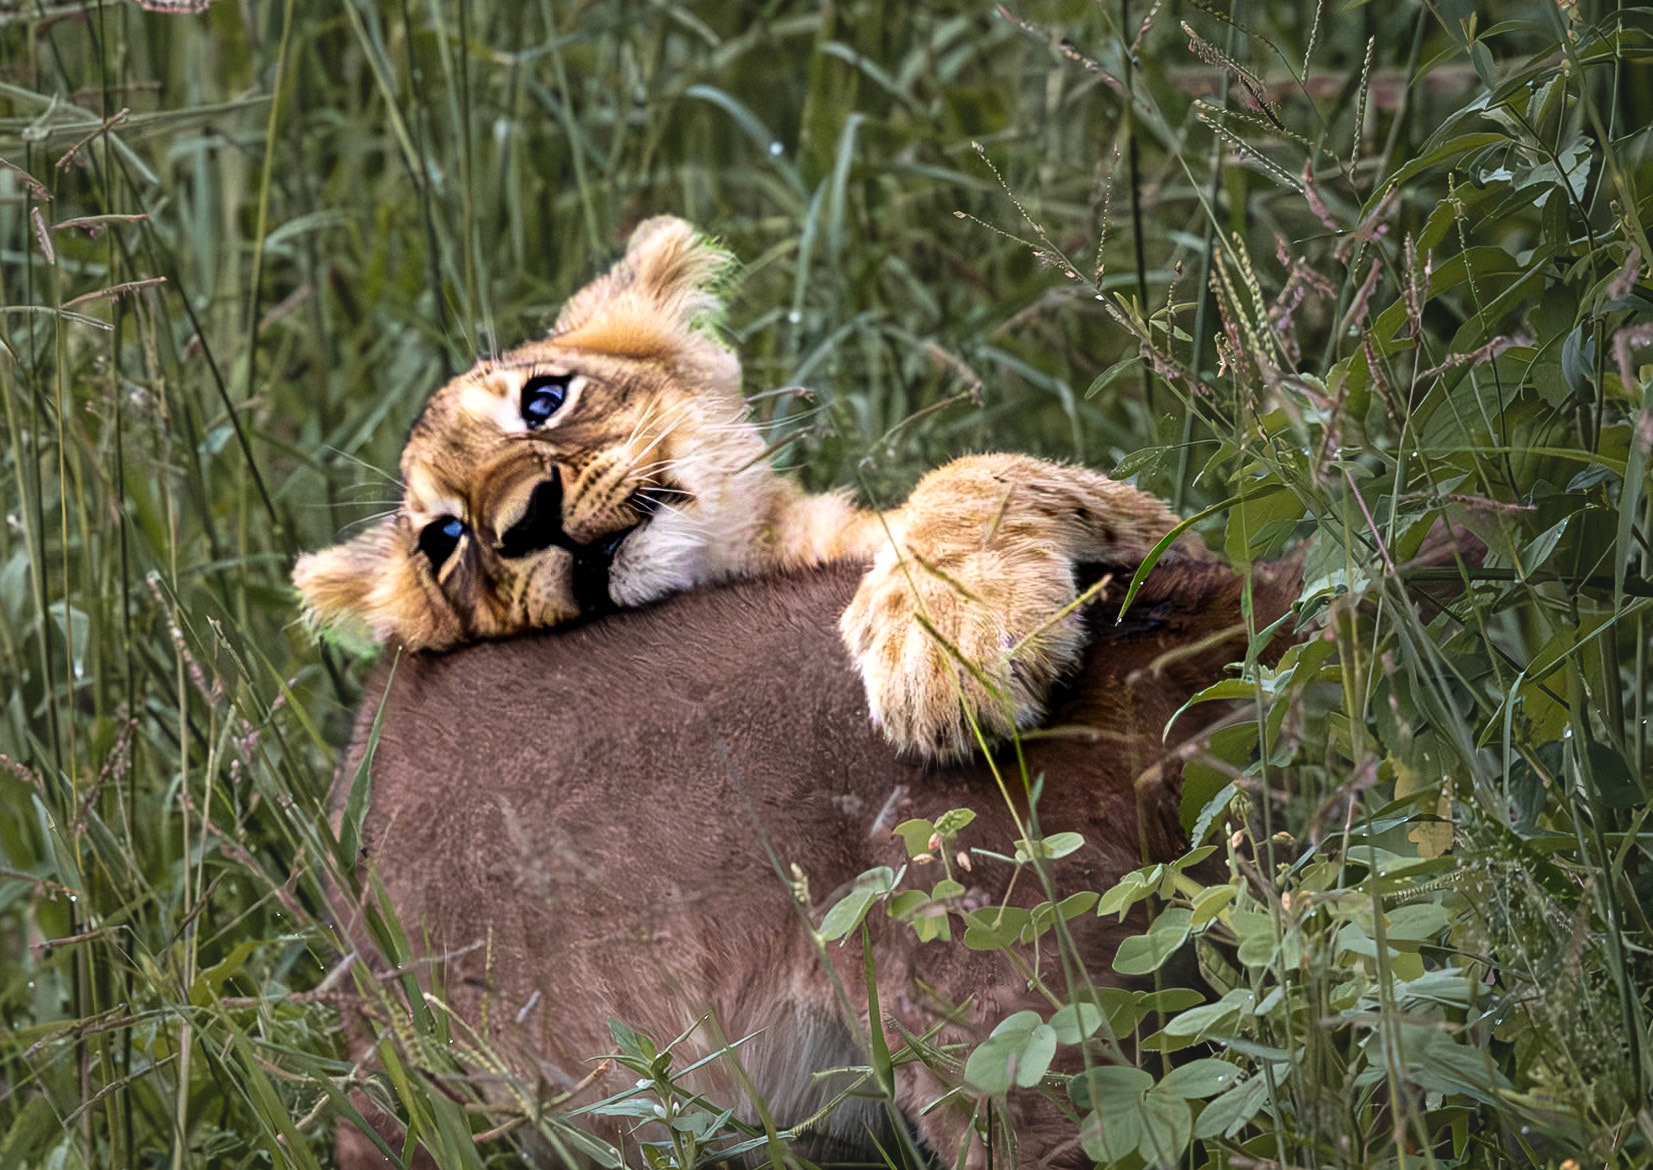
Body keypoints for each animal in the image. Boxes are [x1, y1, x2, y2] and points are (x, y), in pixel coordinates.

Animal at [293, 217, 1211, 757]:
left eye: (544, 399)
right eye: (444, 538)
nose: (527, 520)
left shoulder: (1173, 535)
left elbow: (981, 472)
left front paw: (948, 648)